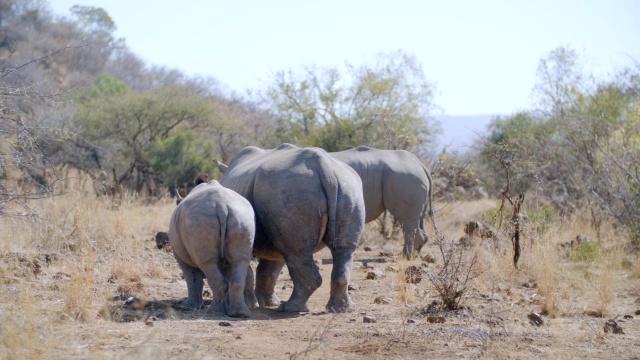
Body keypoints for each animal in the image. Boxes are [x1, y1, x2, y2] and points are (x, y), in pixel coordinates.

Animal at [169, 181, 256, 316]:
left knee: (207, 263)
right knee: (240, 260)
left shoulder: (179, 255)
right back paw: (240, 314)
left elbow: (191, 277)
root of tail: (222, 206)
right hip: (242, 218)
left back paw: (213, 312)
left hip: (198, 221)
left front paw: (188, 306)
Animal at [215, 143, 364, 312]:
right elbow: (270, 268)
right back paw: (341, 309)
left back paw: (290, 308)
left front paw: (252, 304)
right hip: (348, 188)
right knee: (341, 249)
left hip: (287, 190)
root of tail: (326, 169)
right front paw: (268, 303)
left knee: (296, 252)